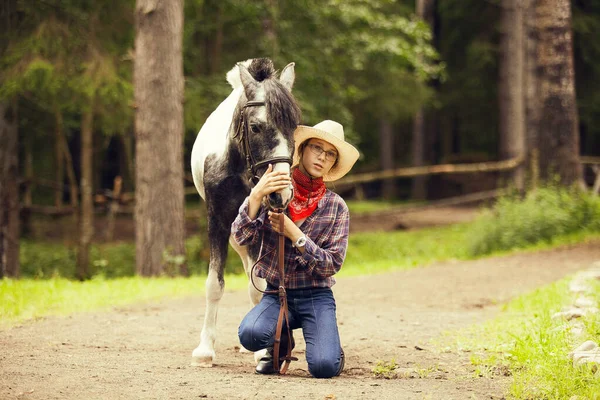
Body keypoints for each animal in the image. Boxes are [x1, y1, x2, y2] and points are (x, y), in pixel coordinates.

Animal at [190, 57, 300, 368]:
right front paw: (205, 350)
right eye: (255, 127)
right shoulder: (217, 222)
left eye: (294, 126)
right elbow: (214, 284)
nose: (281, 192)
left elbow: (259, 284)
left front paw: (264, 350)